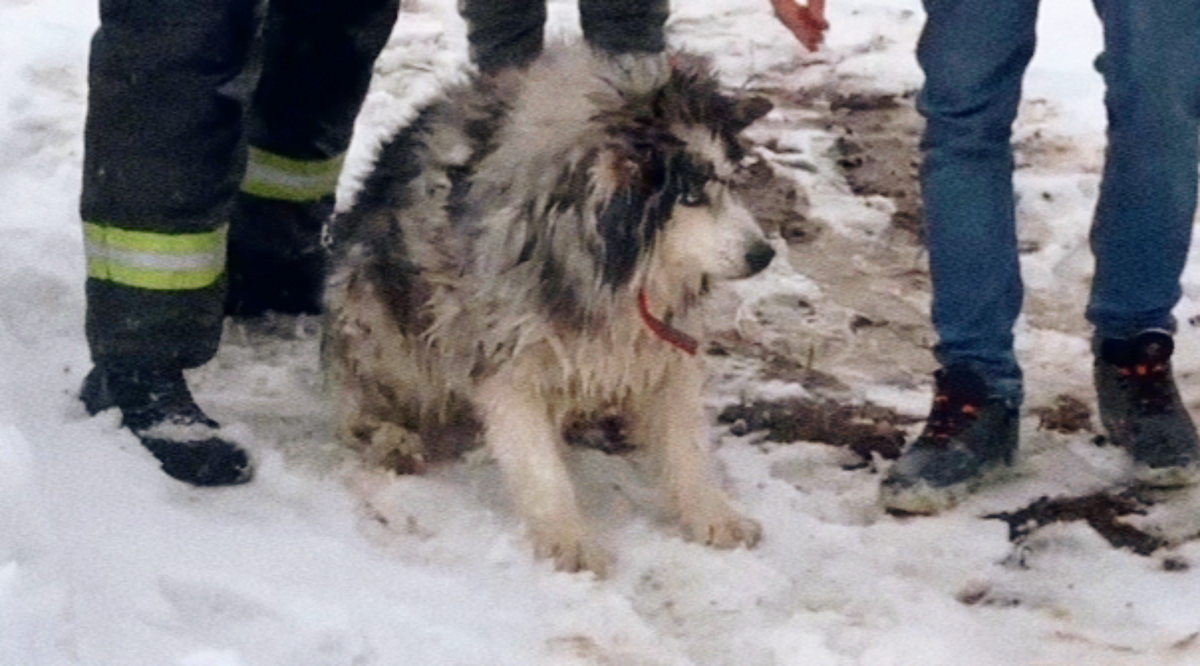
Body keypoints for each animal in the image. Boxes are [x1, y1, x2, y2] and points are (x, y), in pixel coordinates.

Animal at [326, 44, 777, 573]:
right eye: (689, 195)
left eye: (729, 182)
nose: (764, 255)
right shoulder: (504, 356)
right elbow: (540, 467)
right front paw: (568, 538)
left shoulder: (664, 346)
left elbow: (687, 444)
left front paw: (713, 514)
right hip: (376, 315)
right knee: (356, 404)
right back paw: (389, 435)